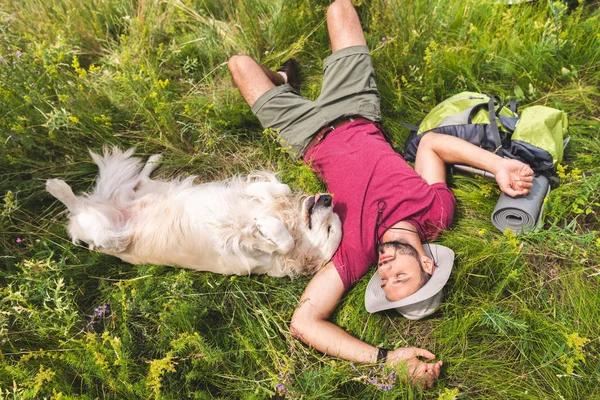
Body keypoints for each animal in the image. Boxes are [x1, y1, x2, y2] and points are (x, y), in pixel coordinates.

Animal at [47, 148, 342, 278]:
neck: (288, 219)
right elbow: (281, 187)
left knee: (81, 213)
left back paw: (57, 187)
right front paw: (258, 190)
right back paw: (152, 160)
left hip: (111, 238)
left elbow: (284, 242)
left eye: (329, 230)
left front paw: (266, 226)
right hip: (144, 193)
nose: (328, 198)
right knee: (139, 180)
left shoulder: (248, 254)